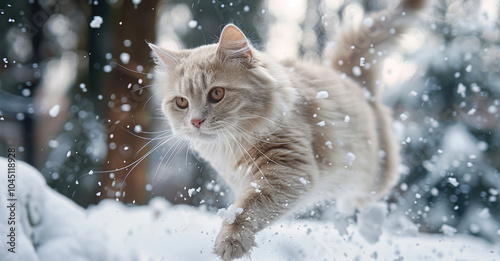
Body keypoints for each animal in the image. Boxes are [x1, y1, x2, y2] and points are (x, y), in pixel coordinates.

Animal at [148, 0, 422, 258]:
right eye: (181, 102)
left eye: (216, 94)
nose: (195, 121)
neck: (231, 147)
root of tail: (347, 77)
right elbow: (243, 204)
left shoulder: (288, 169)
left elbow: (247, 208)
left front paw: (231, 240)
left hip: (374, 173)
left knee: (371, 197)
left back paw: (368, 223)